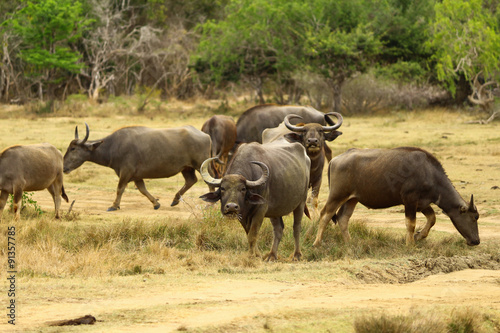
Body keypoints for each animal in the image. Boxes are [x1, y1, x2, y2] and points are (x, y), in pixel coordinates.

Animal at [63, 123, 211, 211]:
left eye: (73, 148)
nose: (63, 167)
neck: (112, 147)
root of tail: (205, 135)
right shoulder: (136, 176)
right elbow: (142, 189)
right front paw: (155, 203)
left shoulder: (126, 172)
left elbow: (120, 189)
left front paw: (114, 205)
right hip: (186, 168)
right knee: (191, 180)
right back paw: (175, 199)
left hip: (201, 165)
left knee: (209, 181)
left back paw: (209, 203)